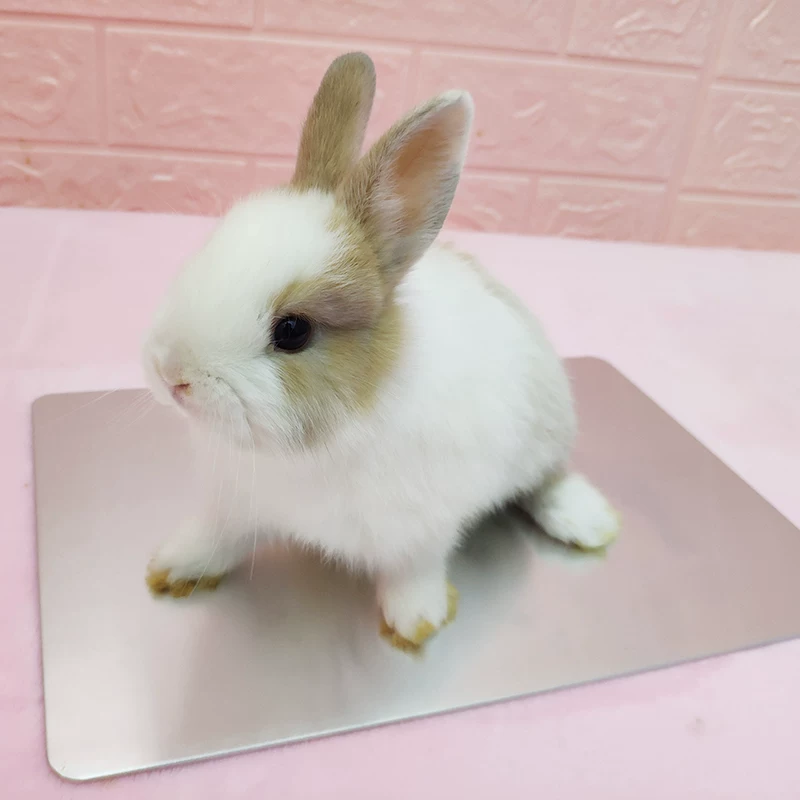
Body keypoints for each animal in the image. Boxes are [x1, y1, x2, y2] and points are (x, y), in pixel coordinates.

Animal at [142, 52, 619, 652]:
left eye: (292, 331)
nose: (171, 374)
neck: (309, 449)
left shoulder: (422, 527)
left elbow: (414, 569)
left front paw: (416, 623)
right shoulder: (233, 505)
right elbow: (216, 540)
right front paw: (173, 567)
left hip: (545, 432)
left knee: (547, 479)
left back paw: (588, 522)